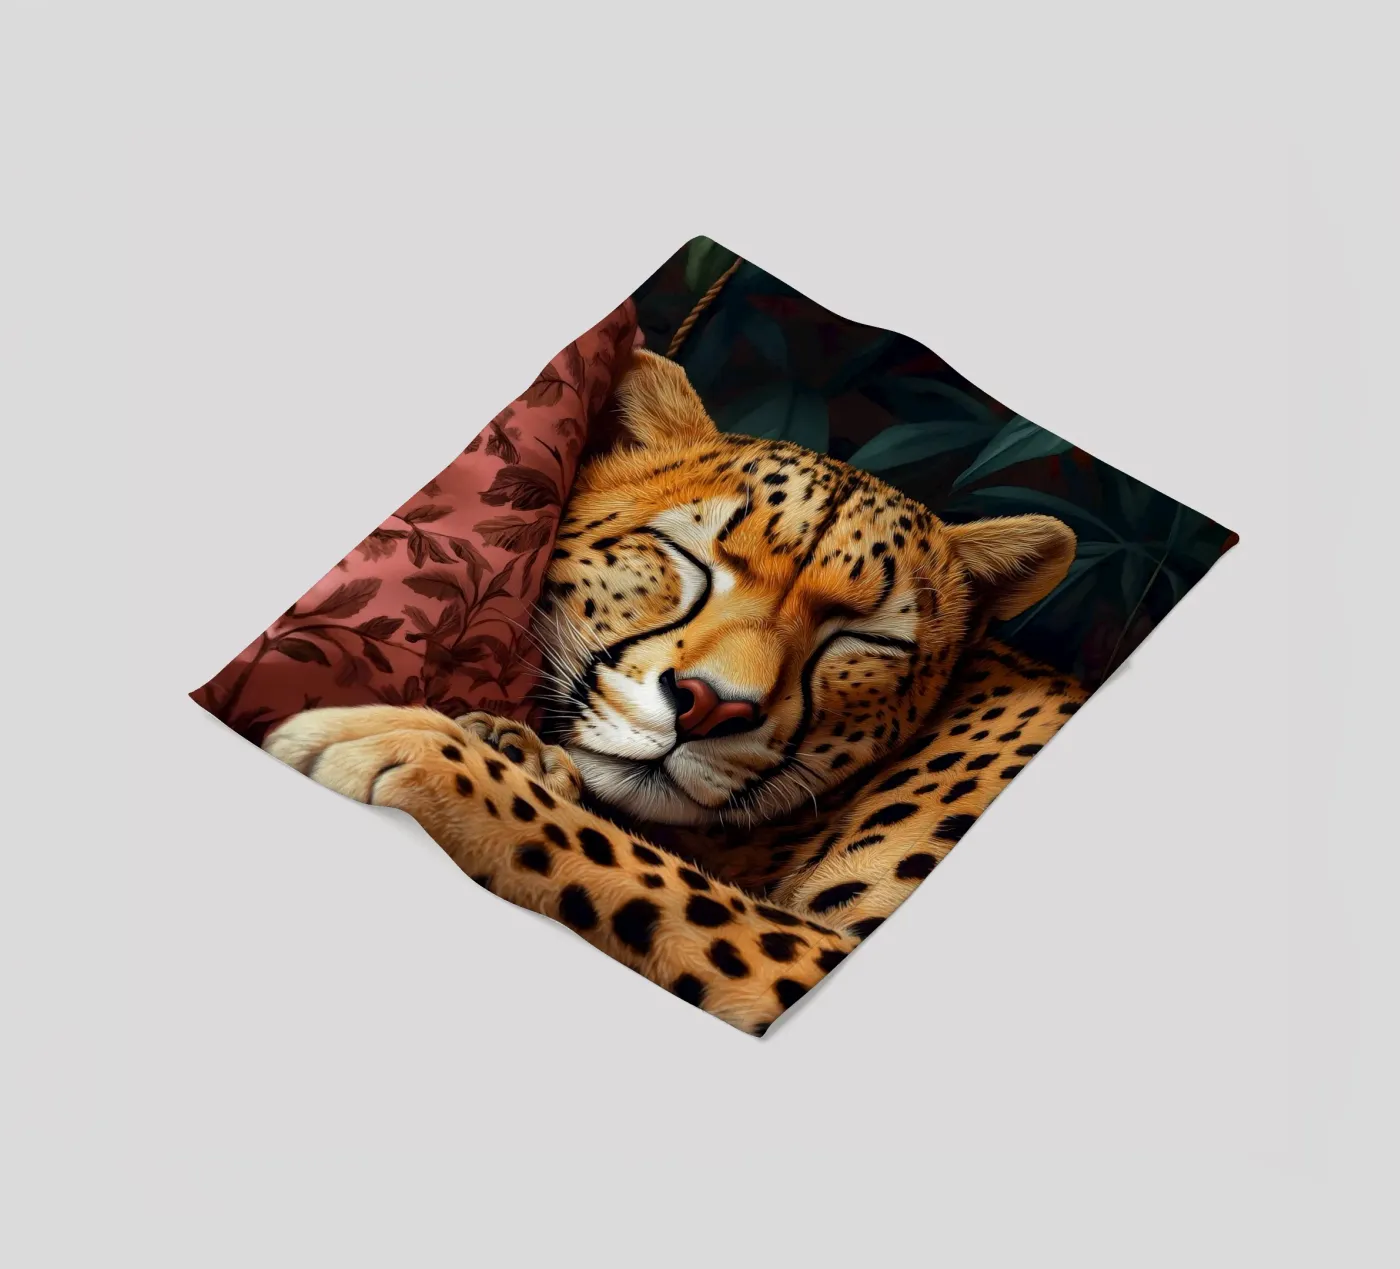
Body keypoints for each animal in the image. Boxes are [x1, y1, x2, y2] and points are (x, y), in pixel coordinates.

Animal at [265, 349, 1087, 1036]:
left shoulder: (807, 951)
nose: (710, 705)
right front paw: (514, 747)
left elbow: (626, 862)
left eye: (866, 638)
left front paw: (404, 740)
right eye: (687, 556)